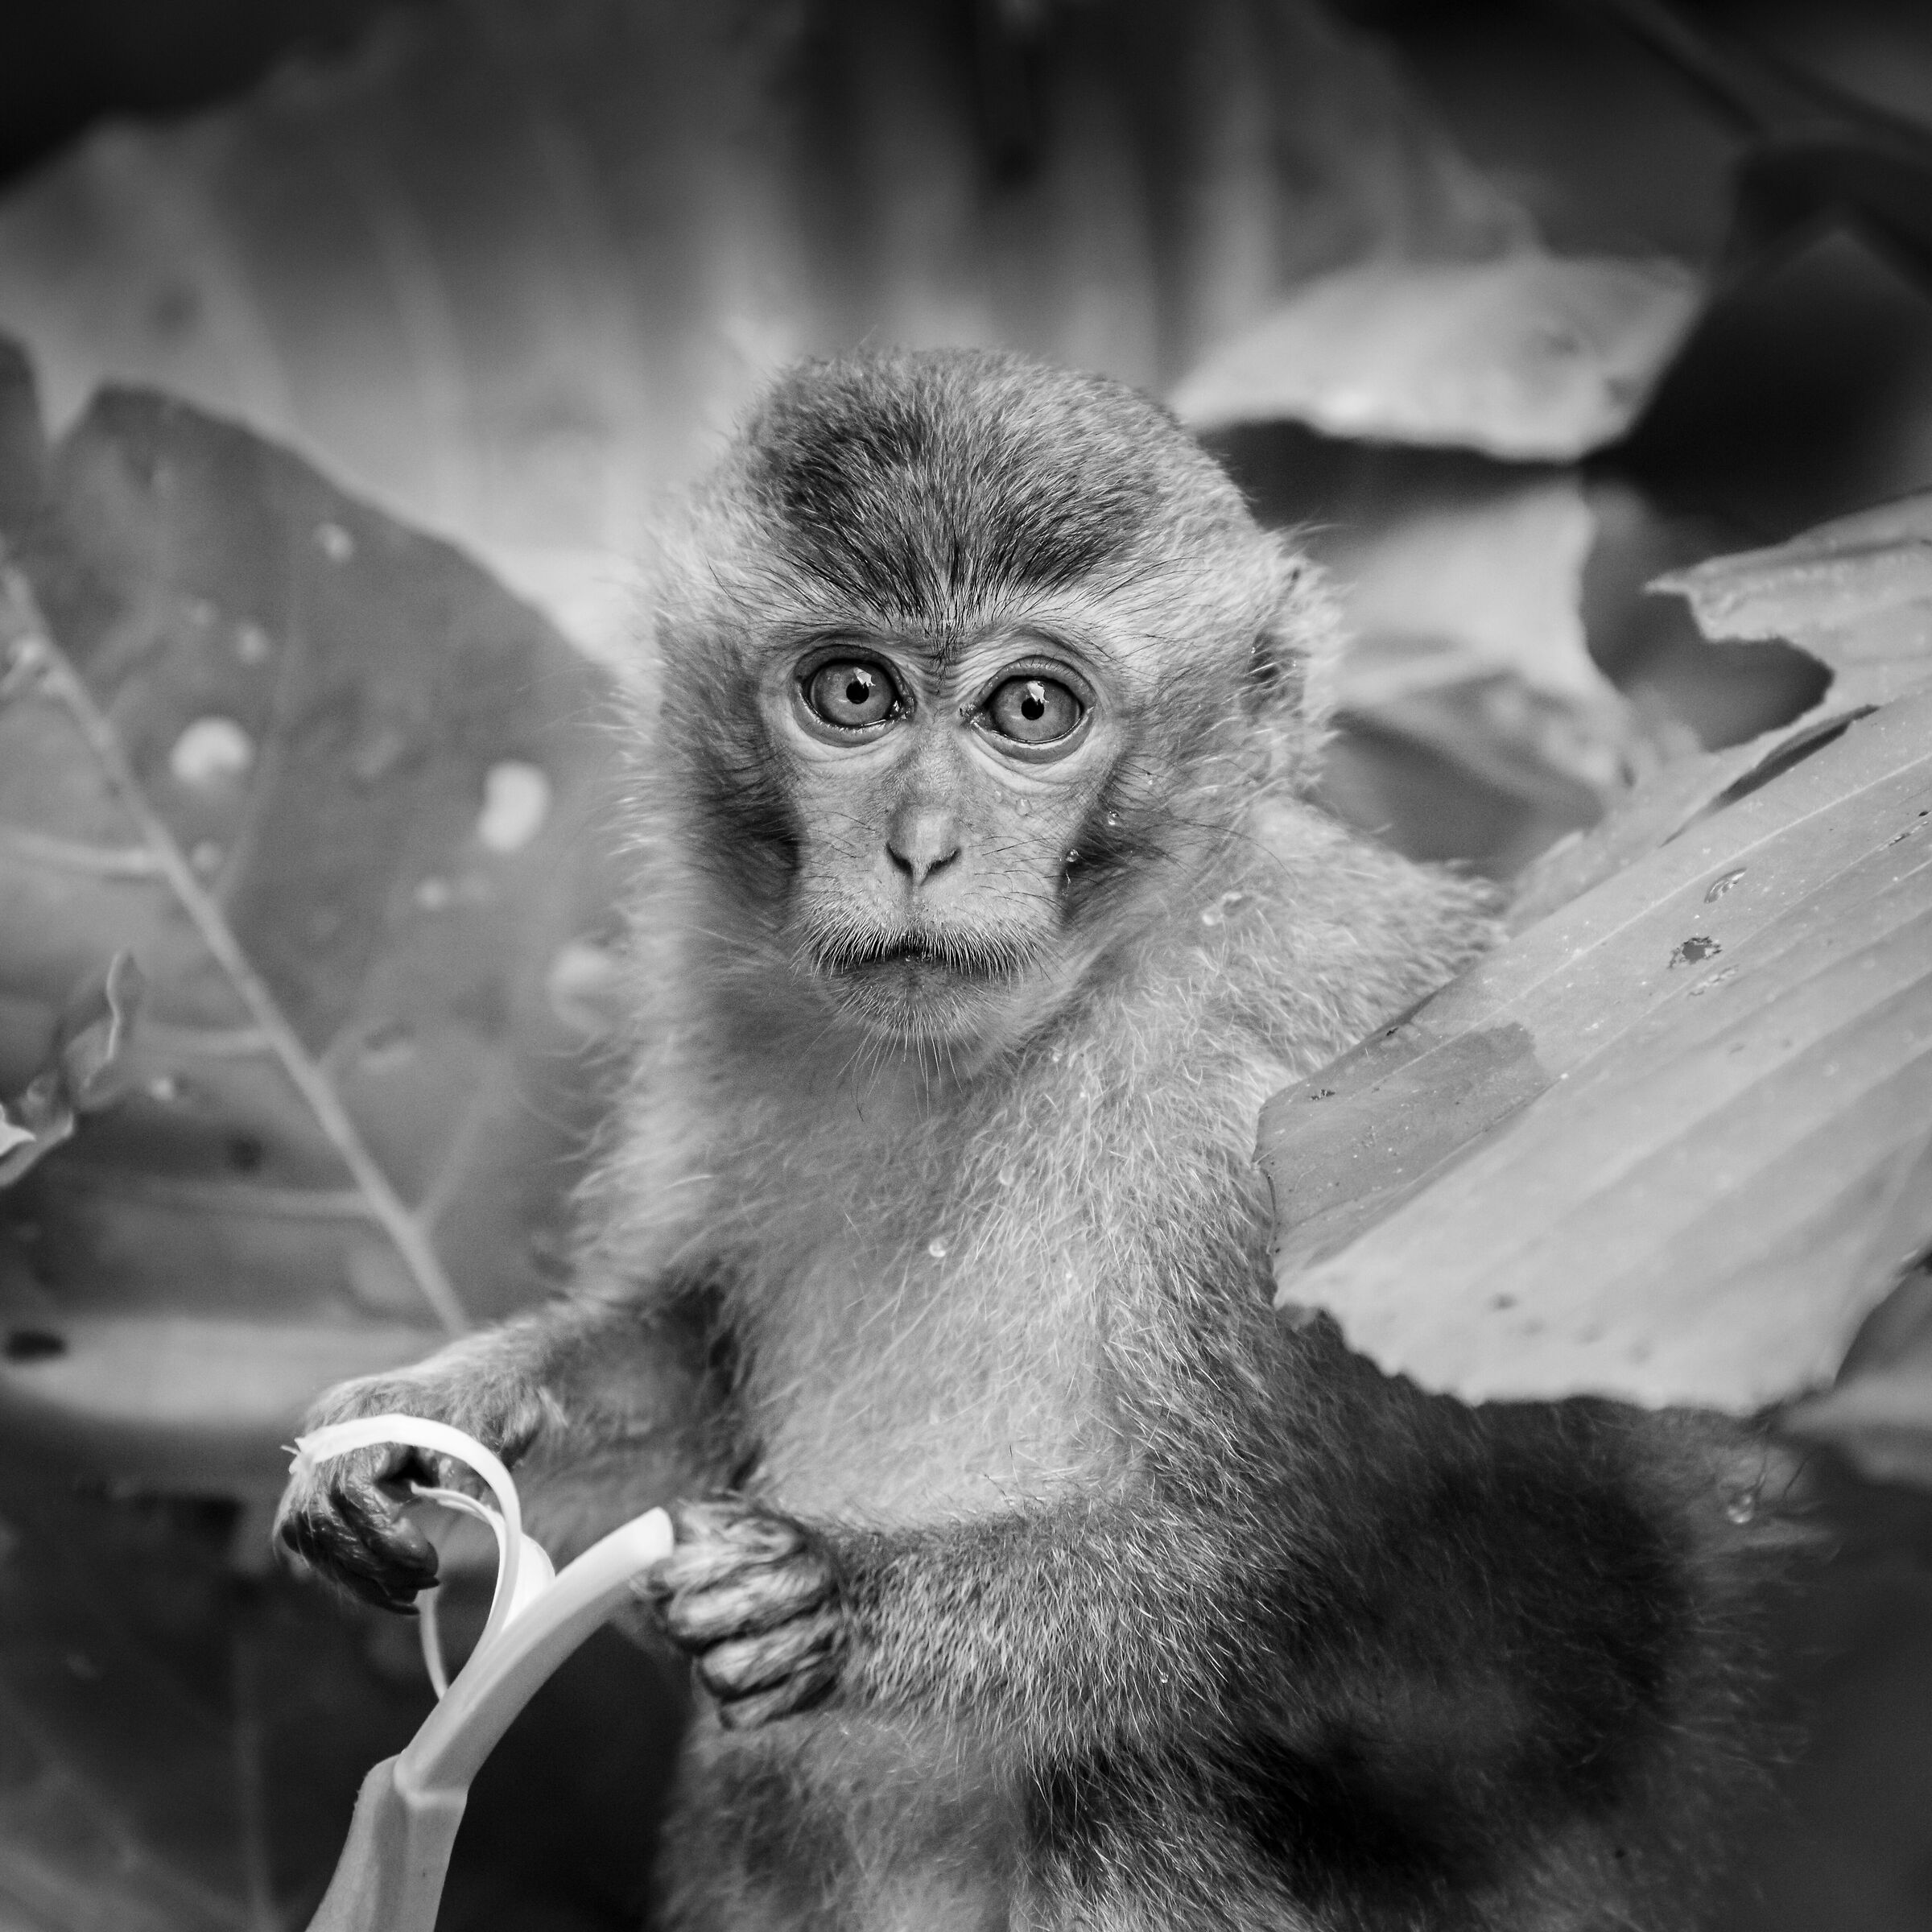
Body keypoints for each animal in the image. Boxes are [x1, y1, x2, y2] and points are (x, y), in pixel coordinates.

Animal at [277, 348, 1769, 1931]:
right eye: (853, 693)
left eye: (1033, 711)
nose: (921, 847)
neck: (1056, 1013)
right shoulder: (723, 1014)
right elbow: (702, 1358)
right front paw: (429, 1416)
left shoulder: (1273, 1136)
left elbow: (1335, 1588)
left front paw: (835, 1597)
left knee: (1145, 1774)